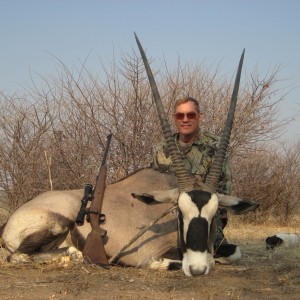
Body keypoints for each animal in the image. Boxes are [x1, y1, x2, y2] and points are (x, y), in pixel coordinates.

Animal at [0, 34, 258, 276]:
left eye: (214, 215)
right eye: (180, 213)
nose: (196, 269)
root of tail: (10, 221)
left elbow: (231, 253)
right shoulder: (146, 253)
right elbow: (170, 260)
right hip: (57, 222)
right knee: (18, 255)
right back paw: (73, 255)